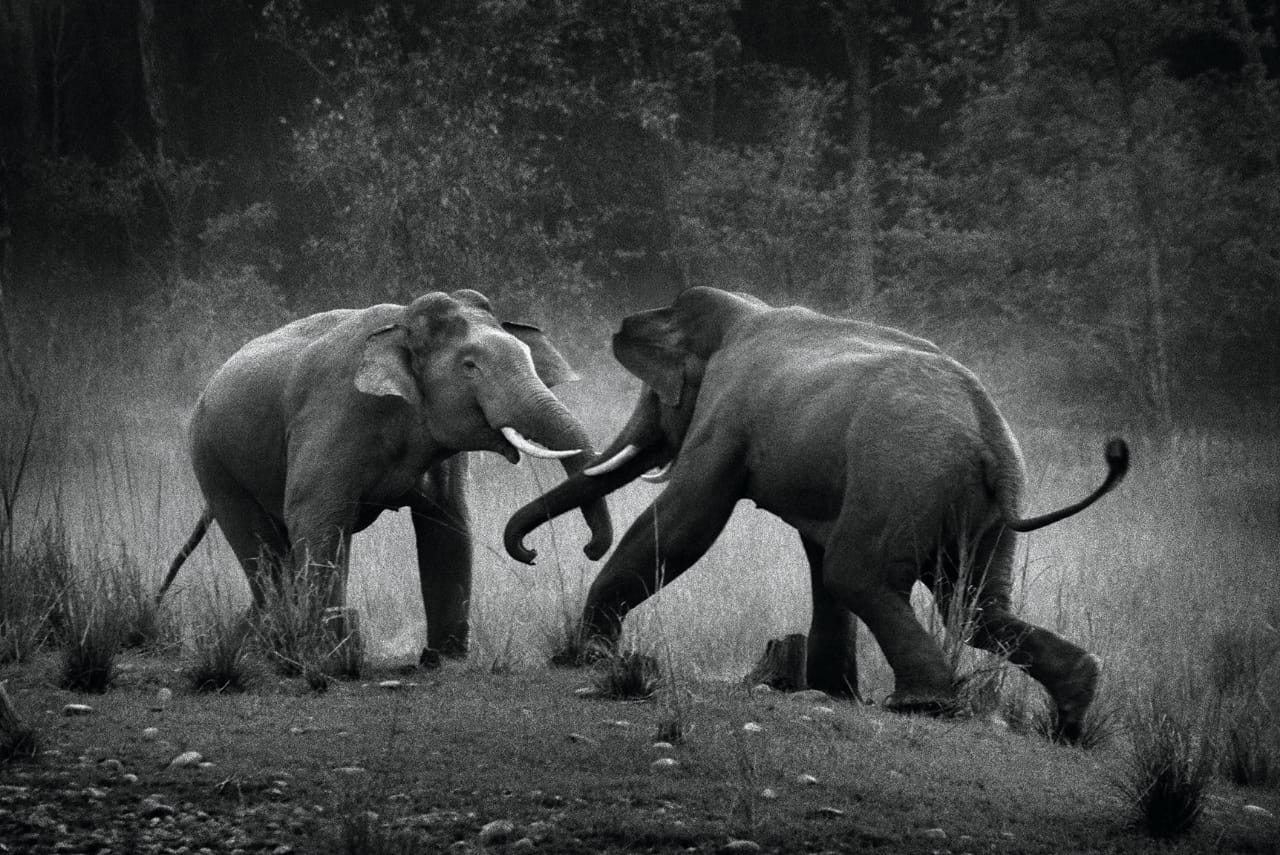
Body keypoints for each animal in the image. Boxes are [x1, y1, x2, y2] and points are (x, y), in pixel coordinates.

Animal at [158, 289, 613, 665]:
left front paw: (443, 659)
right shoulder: (332, 418)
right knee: (263, 552)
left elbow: (448, 527)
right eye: (470, 366)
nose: (588, 549)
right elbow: (318, 517)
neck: (401, 325)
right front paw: (329, 656)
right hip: (214, 463)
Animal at [504, 287, 1128, 742]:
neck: (740, 309)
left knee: (860, 574)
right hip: (980, 503)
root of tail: (987, 428)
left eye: (656, 396)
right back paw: (1072, 716)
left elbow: (688, 518)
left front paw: (581, 657)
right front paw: (832, 694)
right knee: (972, 606)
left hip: (900, 475)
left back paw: (921, 704)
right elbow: (812, 548)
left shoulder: (727, 414)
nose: (531, 551)